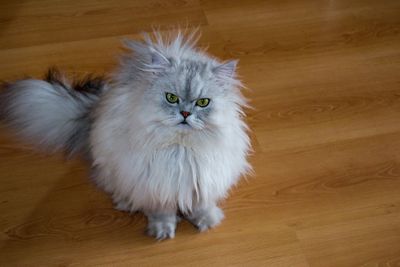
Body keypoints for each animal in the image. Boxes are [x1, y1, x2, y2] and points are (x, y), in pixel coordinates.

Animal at [1, 31, 252, 241]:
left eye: (203, 103)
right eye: (171, 98)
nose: (185, 114)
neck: (180, 149)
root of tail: (95, 108)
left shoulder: (202, 180)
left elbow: (201, 205)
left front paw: (207, 221)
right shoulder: (154, 186)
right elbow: (161, 213)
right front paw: (162, 231)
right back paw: (126, 202)